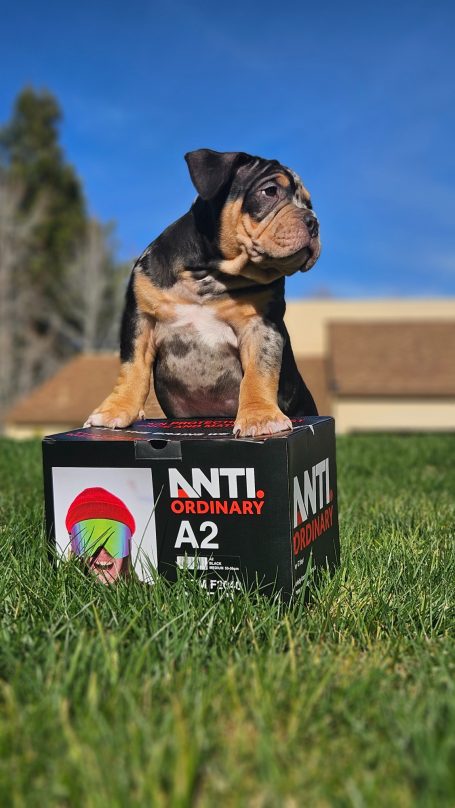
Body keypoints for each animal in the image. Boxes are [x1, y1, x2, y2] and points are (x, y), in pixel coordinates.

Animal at [85, 147, 320, 436]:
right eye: (270, 191)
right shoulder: (140, 318)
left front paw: (260, 417)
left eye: (309, 204)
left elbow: (259, 372)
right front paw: (116, 410)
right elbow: (132, 368)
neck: (209, 272)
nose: (313, 221)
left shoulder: (262, 326)